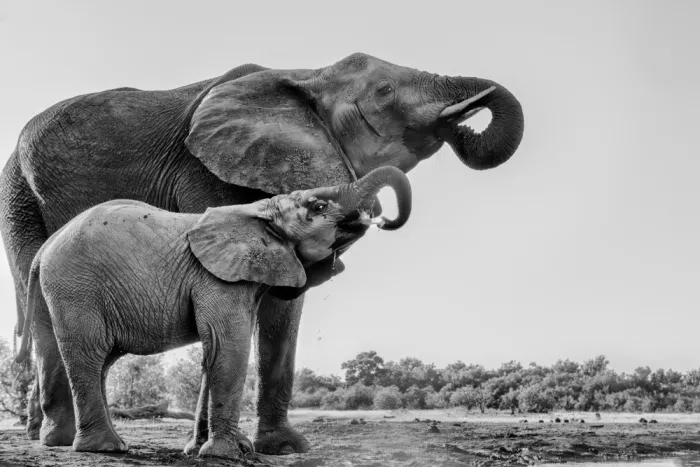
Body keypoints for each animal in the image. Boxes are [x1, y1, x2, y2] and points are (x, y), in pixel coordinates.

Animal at [13, 166, 412, 459]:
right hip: (76, 287)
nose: (382, 219)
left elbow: (213, 353)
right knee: (90, 353)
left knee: (84, 358)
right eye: (317, 207)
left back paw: (69, 443)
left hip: (60, 289)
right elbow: (228, 346)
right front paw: (225, 455)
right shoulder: (217, 278)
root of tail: (44, 250)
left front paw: (203, 450)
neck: (259, 210)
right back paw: (108, 448)